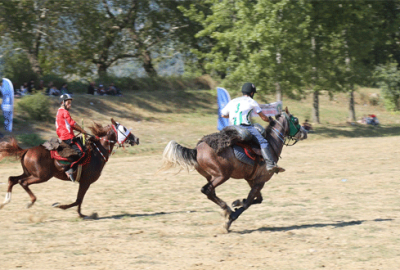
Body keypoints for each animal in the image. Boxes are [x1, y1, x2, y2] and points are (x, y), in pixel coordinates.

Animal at [0, 118, 139, 217]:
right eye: (124, 129)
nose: (137, 139)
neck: (96, 152)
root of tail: (27, 150)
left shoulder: (84, 182)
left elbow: (79, 200)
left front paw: (81, 214)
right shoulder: (85, 181)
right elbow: (78, 200)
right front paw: (59, 206)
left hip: (29, 173)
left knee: (12, 179)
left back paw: (5, 201)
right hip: (41, 176)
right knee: (22, 182)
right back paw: (30, 202)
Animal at [159, 107, 306, 230]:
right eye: (295, 120)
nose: (305, 132)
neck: (271, 144)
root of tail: (196, 150)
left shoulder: (253, 180)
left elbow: (256, 200)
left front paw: (237, 202)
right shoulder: (260, 181)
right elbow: (249, 203)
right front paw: (231, 219)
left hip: (210, 176)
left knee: (210, 192)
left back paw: (226, 208)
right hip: (222, 175)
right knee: (207, 190)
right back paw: (227, 210)